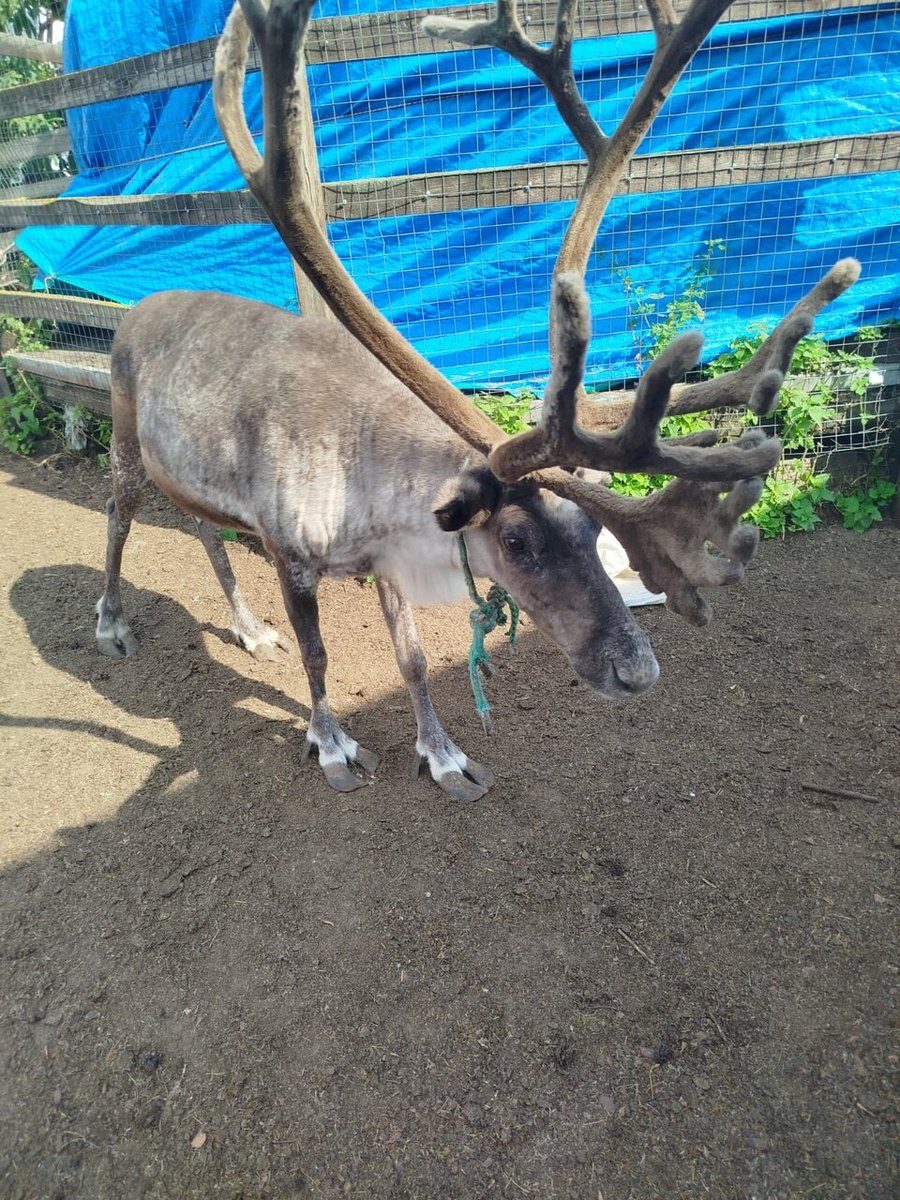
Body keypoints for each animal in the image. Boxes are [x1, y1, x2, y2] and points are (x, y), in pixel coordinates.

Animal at [95, 0, 860, 801]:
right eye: (518, 542)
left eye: (594, 528)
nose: (638, 671)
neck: (364, 489)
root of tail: (138, 306)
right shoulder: (289, 551)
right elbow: (318, 656)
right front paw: (332, 743)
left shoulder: (382, 560)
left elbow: (413, 660)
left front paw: (444, 755)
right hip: (123, 427)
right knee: (118, 513)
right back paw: (111, 623)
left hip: (181, 464)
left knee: (202, 527)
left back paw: (246, 629)